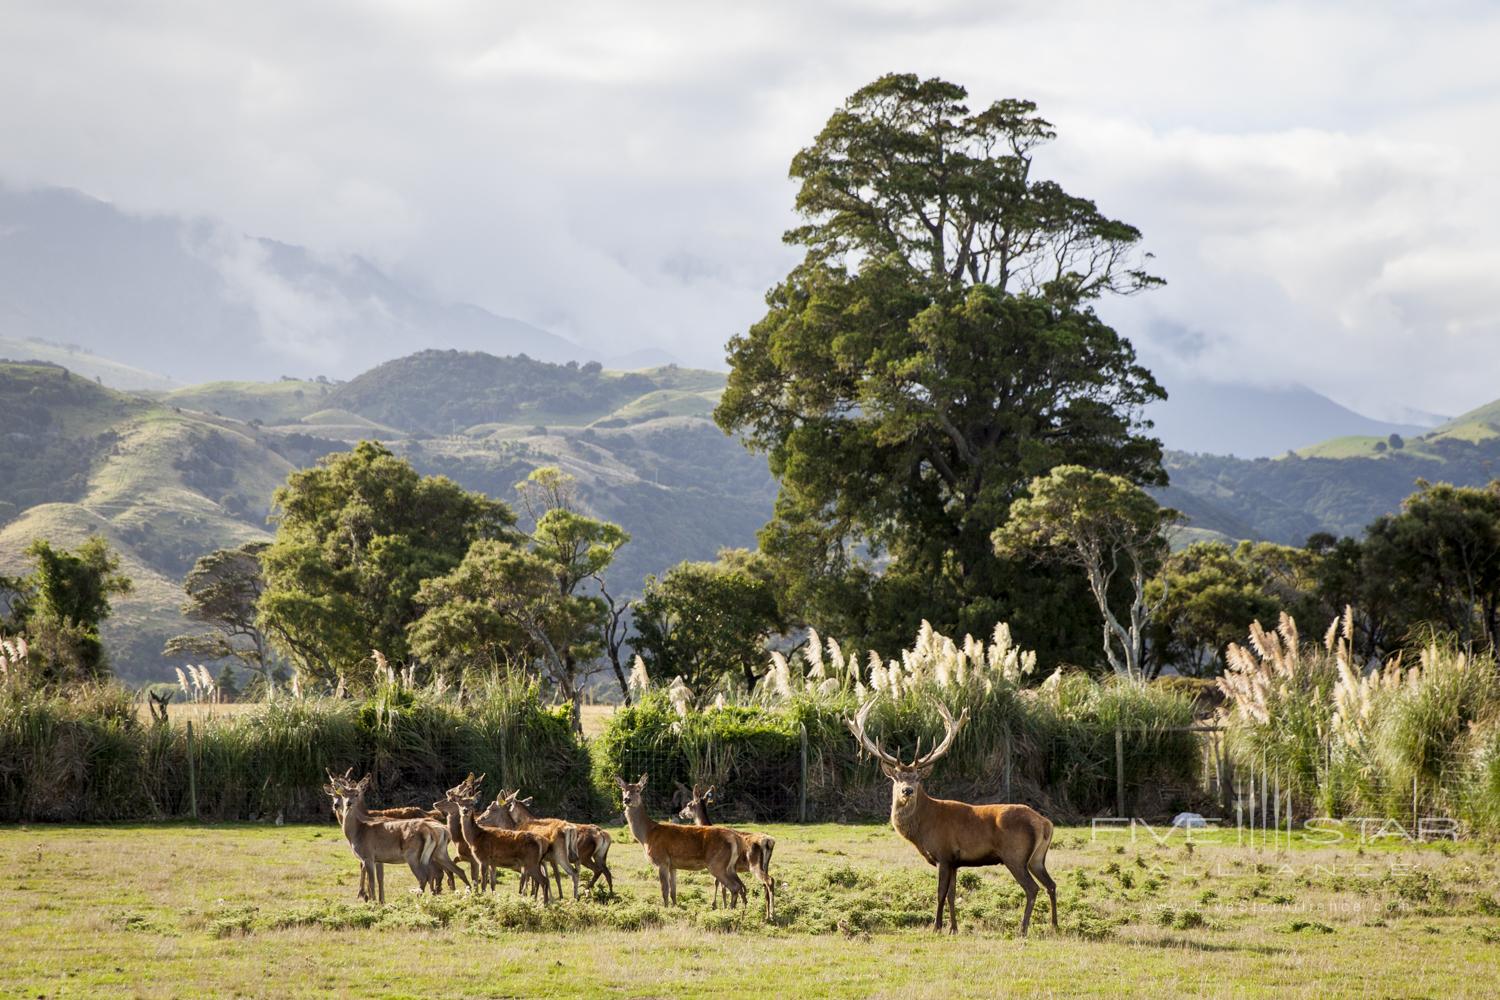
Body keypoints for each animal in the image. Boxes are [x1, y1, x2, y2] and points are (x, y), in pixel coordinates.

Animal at [612, 779, 747, 911]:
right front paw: (675, 909)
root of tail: (735, 838)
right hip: (730, 867)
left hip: (716, 863)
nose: (627, 800)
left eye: (638, 790)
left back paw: (730, 912)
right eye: (623, 789)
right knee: (741, 886)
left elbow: (664, 891)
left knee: (735, 887)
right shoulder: (673, 865)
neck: (647, 835)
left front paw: (665, 910)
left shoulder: (662, 860)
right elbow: (673, 892)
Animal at [678, 785, 780, 917]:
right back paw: (768, 914)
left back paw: (771, 914)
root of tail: (769, 841)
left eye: (689, 804)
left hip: (754, 864)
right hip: (765, 865)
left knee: (769, 881)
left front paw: (717, 905)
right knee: (766, 885)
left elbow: (718, 884)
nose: (680, 813)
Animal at [852, 695, 1062, 941]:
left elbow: (940, 892)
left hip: (1015, 855)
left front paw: (936, 927)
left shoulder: (943, 854)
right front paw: (953, 928)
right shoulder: (955, 861)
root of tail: (1044, 823)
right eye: (897, 778)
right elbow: (952, 894)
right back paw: (1055, 926)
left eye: (917, 778)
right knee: (1051, 884)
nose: (907, 791)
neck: (923, 828)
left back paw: (1023, 929)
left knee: (1032, 888)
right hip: (1037, 858)